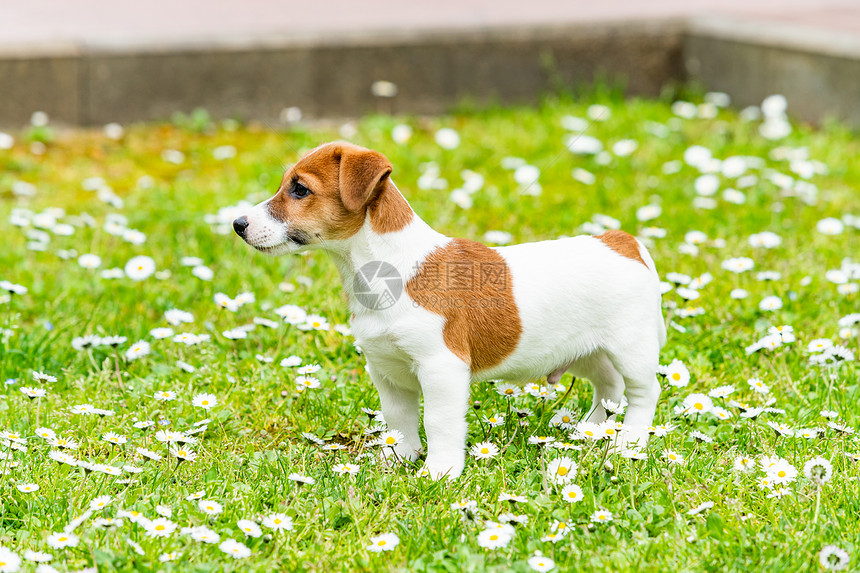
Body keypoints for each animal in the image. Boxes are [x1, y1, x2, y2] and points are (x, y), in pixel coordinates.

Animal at [235, 142, 664, 478]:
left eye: (300, 189)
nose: (238, 224)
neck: (386, 269)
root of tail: (621, 241)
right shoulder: (385, 370)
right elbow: (399, 419)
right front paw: (397, 460)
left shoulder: (441, 367)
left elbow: (437, 421)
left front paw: (439, 471)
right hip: (586, 352)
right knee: (609, 387)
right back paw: (590, 430)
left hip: (630, 348)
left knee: (643, 392)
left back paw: (628, 442)